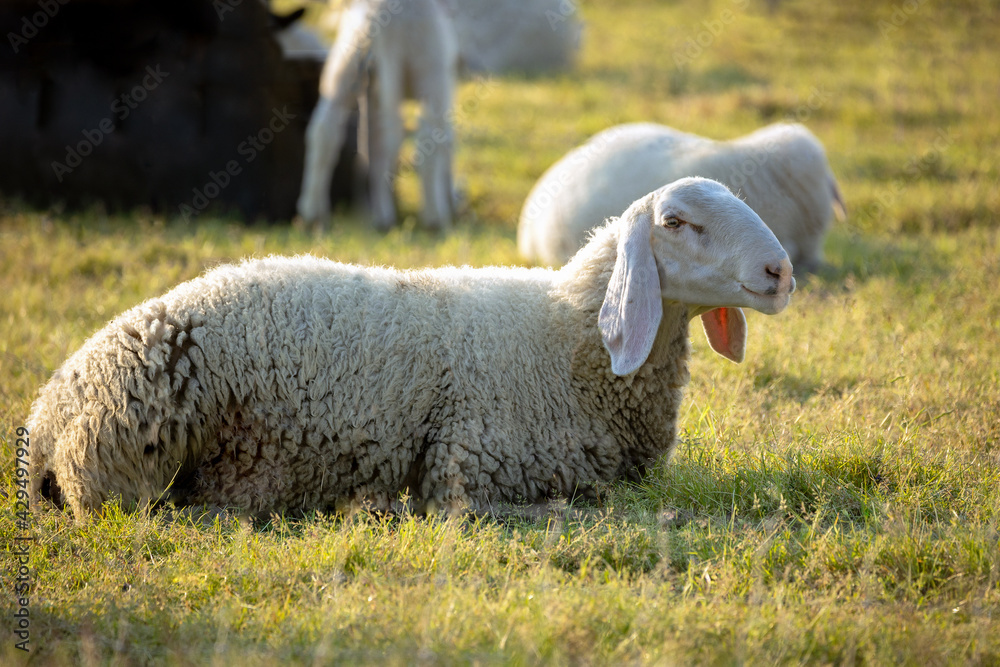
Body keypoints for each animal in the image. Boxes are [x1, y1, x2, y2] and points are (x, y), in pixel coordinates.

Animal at [28, 178, 794, 521]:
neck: (565, 340)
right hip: (125, 453)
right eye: (677, 222)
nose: (780, 272)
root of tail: (45, 416)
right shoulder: (468, 467)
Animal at [298, 0, 458, 231]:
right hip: (429, 70)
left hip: (347, 63)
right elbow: (445, 140)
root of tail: (378, 14)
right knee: (421, 138)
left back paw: (314, 212)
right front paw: (448, 202)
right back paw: (430, 218)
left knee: (325, 130)